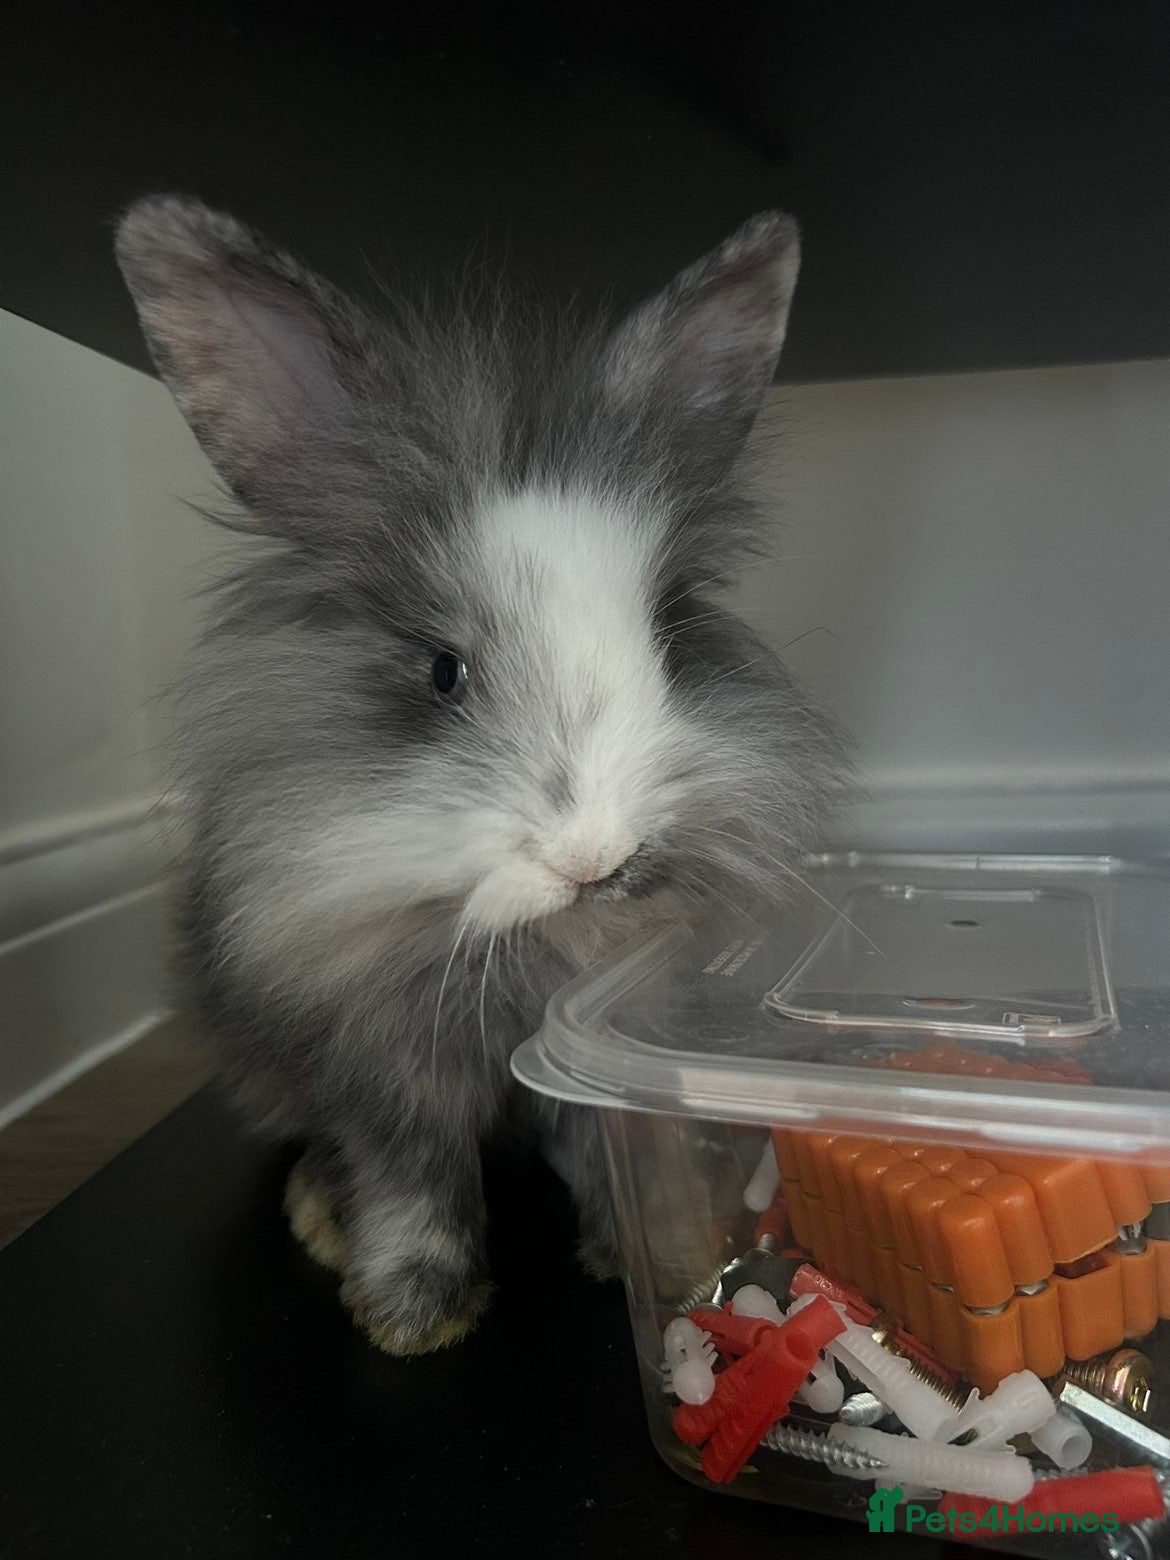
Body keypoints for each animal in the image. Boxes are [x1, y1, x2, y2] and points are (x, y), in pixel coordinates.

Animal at [115, 196, 850, 1355]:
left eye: (670, 634)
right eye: (441, 671)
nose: (596, 856)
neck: (532, 949)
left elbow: (601, 1153)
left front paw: (646, 1253)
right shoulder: (378, 1060)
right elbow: (410, 1178)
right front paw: (413, 1315)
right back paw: (317, 1212)